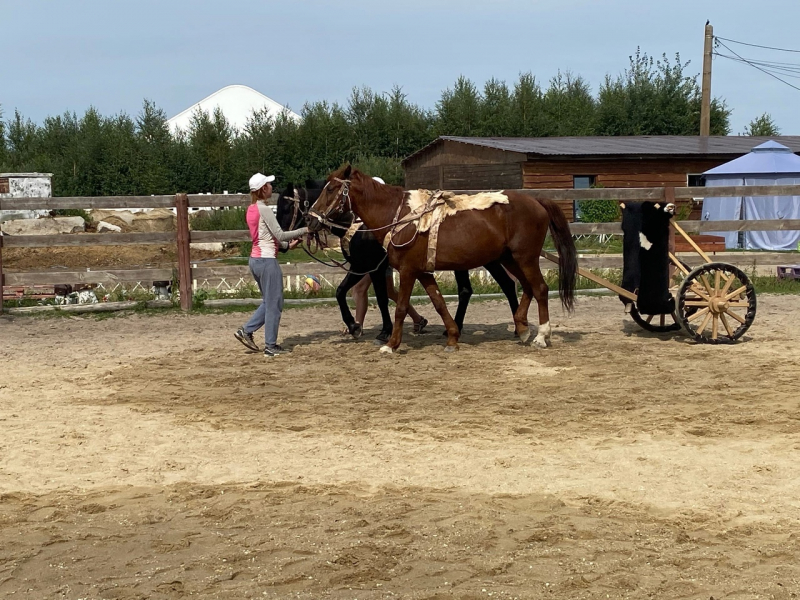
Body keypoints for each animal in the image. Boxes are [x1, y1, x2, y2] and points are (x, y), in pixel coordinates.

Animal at [278, 178, 520, 342]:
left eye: (287, 206)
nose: (281, 242)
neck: (358, 225)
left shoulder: (371, 267)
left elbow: (381, 298)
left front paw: (384, 330)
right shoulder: (362, 267)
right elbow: (341, 292)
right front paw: (354, 326)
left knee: (476, 289)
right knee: (503, 285)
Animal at [306, 165, 576, 352]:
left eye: (330, 189)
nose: (309, 218)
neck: (399, 217)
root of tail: (536, 201)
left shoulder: (407, 270)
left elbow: (400, 307)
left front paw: (391, 344)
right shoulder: (423, 271)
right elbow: (438, 303)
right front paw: (452, 337)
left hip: (525, 258)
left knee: (540, 289)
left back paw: (541, 336)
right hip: (509, 259)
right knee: (526, 287)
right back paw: (521, 328)